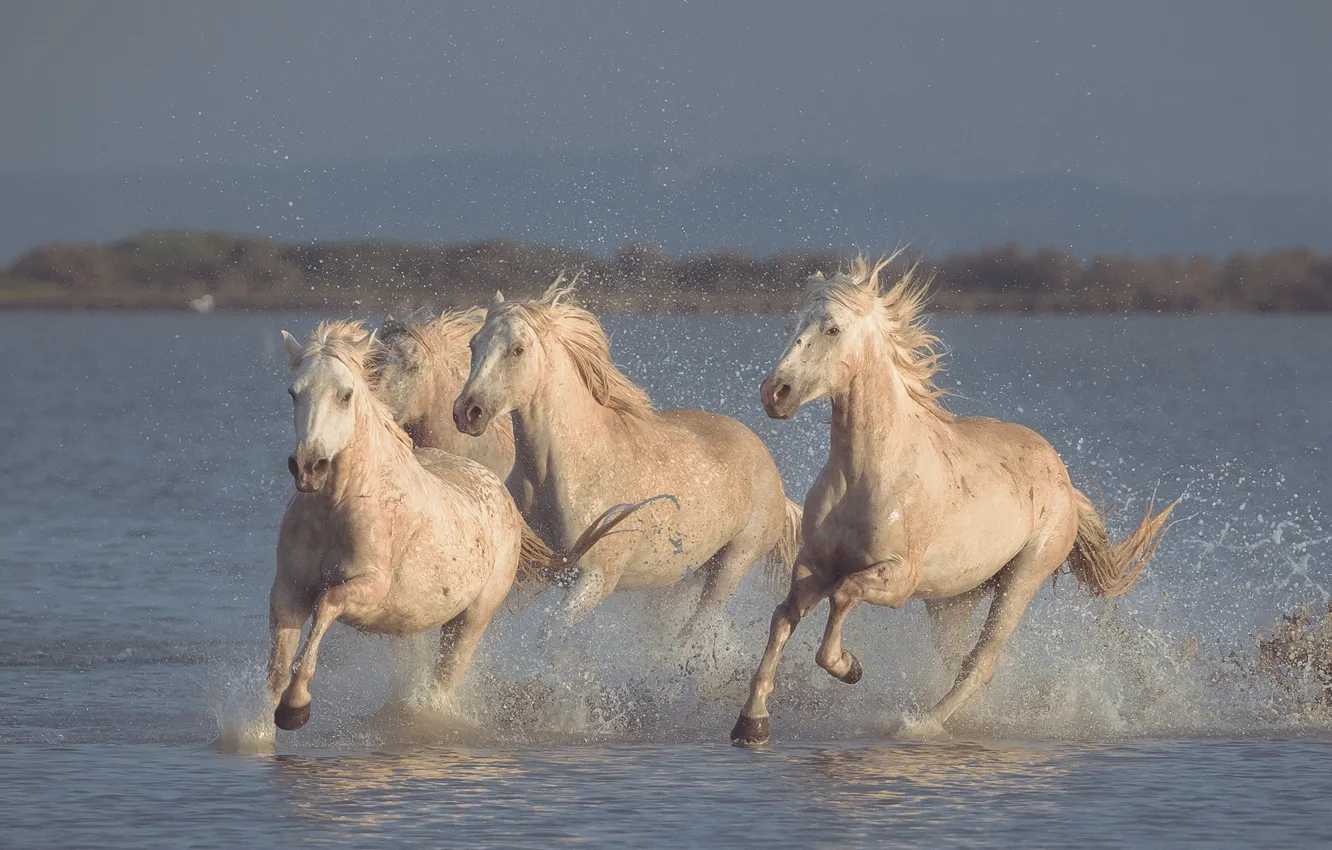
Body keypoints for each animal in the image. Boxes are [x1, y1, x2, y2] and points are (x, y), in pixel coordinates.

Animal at [453, 279, 803, 633]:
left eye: (518, 349)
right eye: (473, 344)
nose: (468, 412)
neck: (565, 470)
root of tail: (774, 474)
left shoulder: (594, 581)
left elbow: (549, 636)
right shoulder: (521, 564)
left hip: (732, 565)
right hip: (686, 575)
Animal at [731, 257, 1177, 745]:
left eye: (832, 328)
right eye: (792, 325)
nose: (775, 393)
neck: (868, 472)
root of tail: (1064, 479)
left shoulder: (898, 578)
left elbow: (844, 598)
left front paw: (850, 668)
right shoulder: (814, 566)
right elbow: (783, 617)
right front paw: (751, 722)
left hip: (1024, 575)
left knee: (979, 663)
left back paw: (922, 723)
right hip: (954, 598)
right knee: (955, 658)